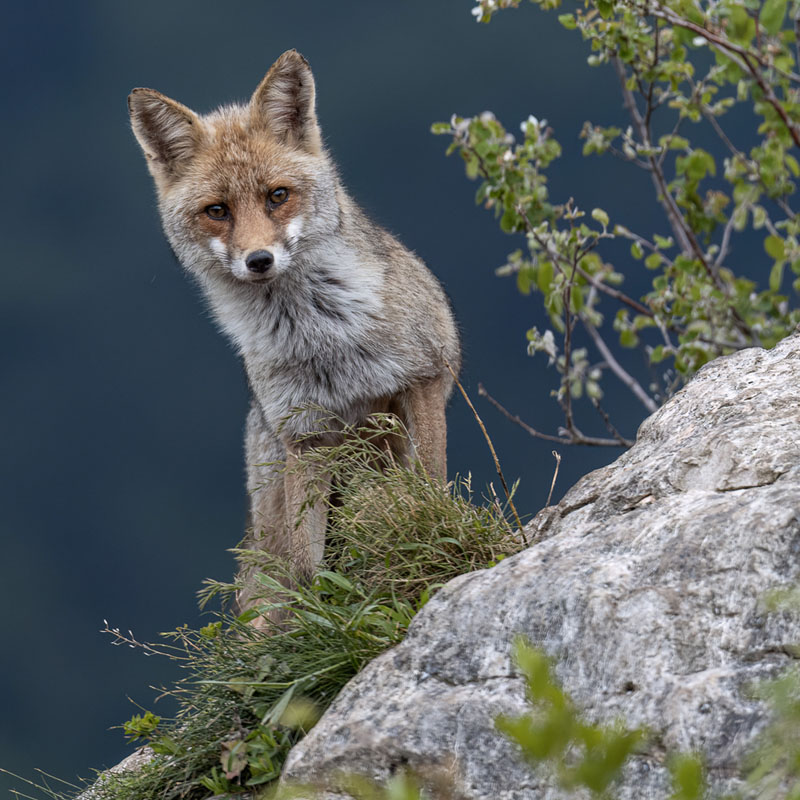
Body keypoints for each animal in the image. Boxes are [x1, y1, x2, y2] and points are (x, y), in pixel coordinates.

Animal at [128, 49, 461, 617]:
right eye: (218, 211)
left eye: (277, 196)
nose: (258, 260)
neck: (322, 340)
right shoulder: (306, 436)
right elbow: (310, 567)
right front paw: (322, 616)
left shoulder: (422, 380)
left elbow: (431, 484)